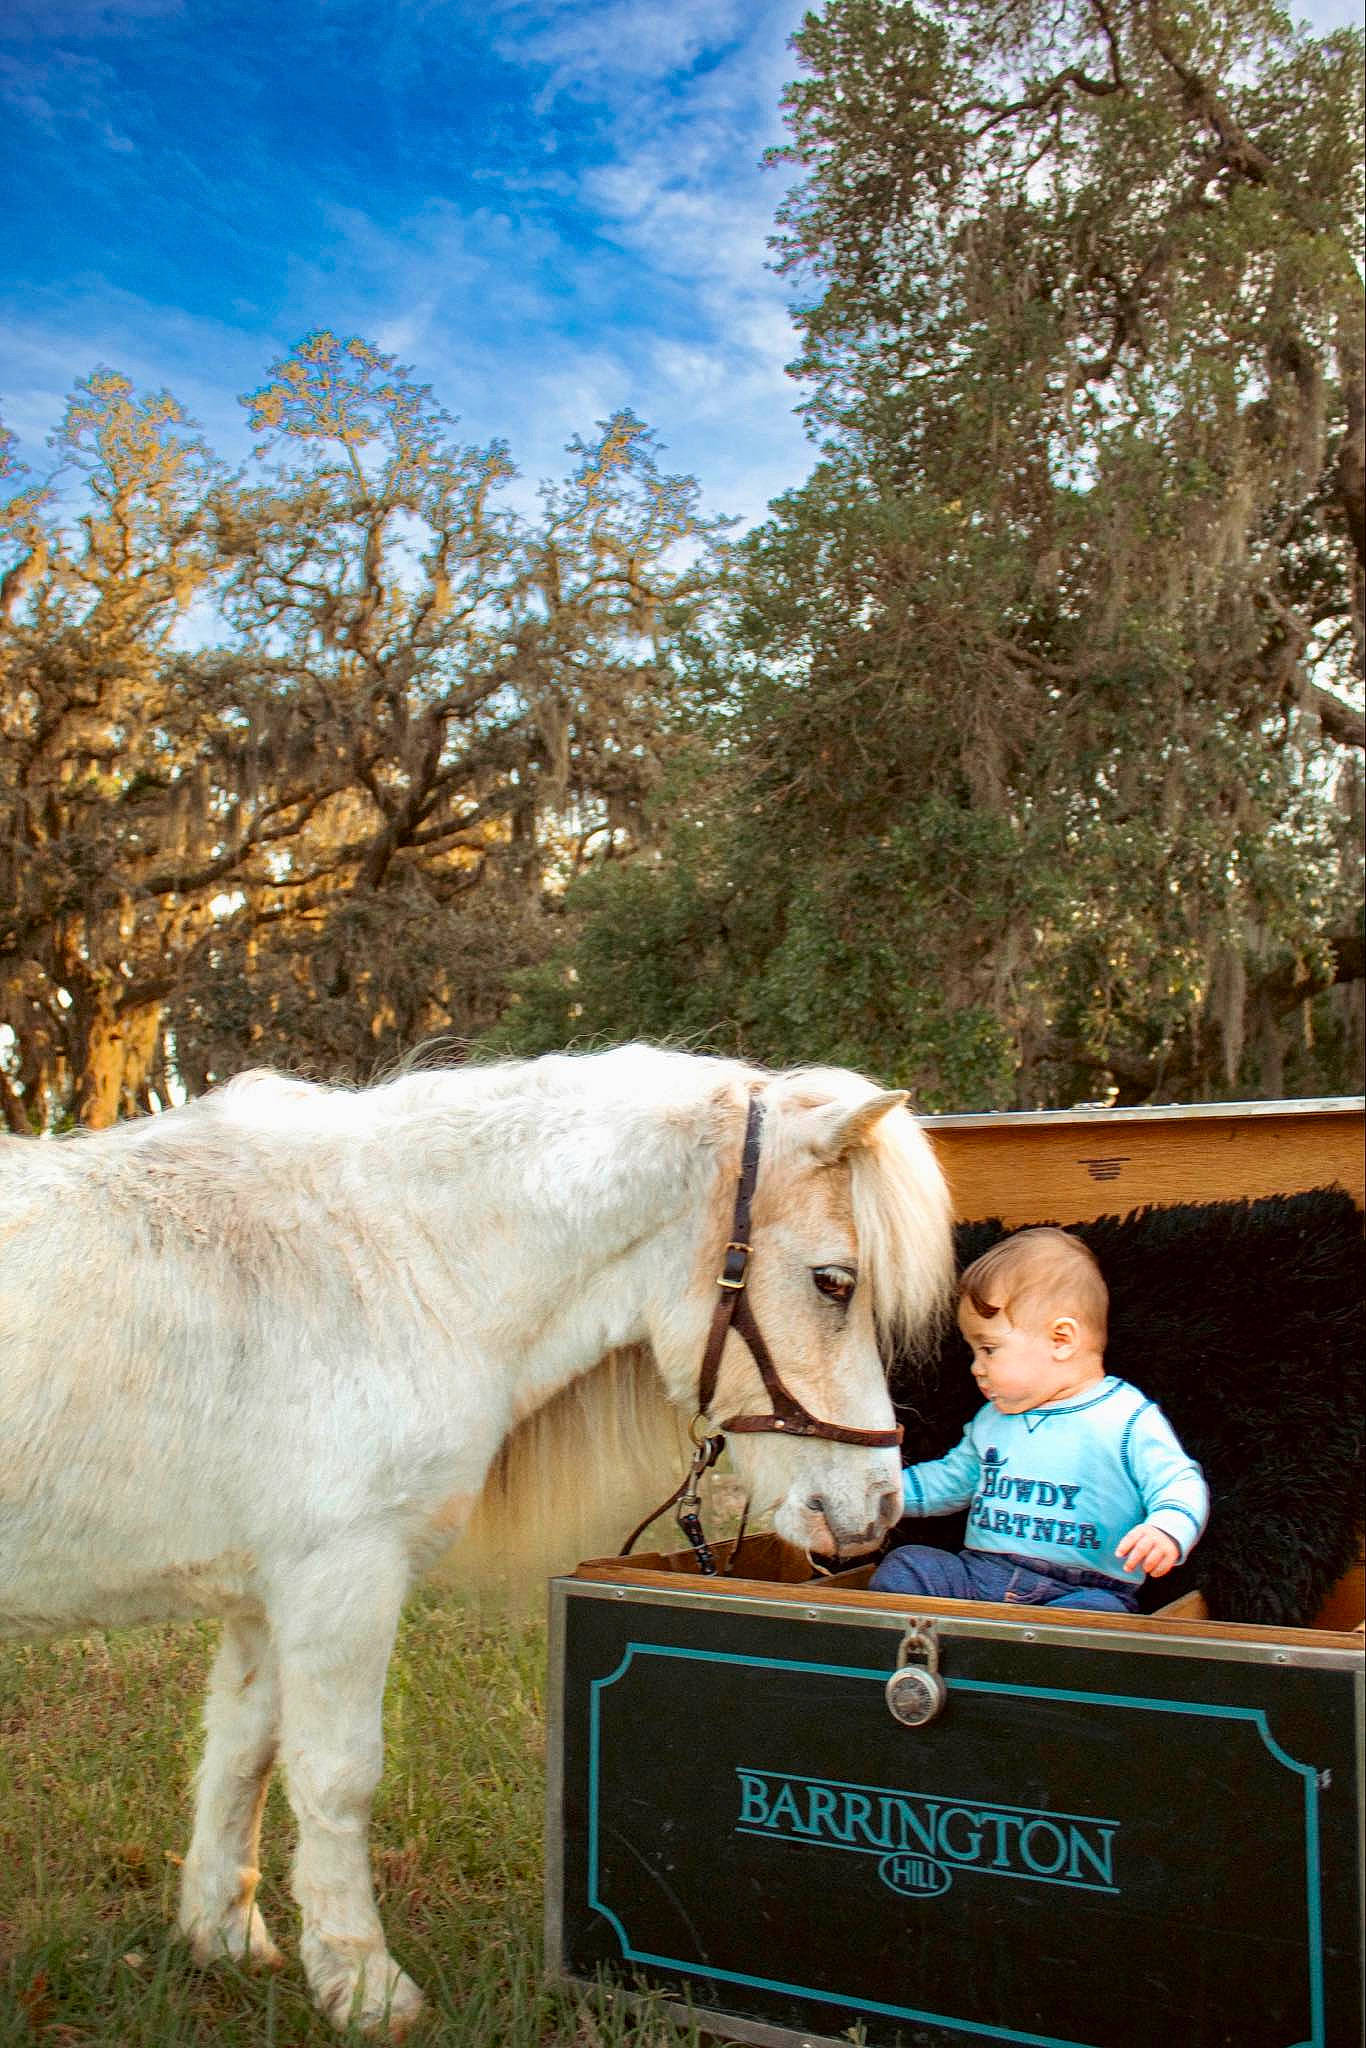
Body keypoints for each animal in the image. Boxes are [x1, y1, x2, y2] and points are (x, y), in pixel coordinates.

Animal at [0, 1042, 952, 2035]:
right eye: (834, 1280)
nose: (878, 1506)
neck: (390, 1266)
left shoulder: (267, 1596)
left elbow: (243, 1756)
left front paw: (223, 1937)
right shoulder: (342, 1579)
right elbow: (337, 1776)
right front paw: (363, 1984)